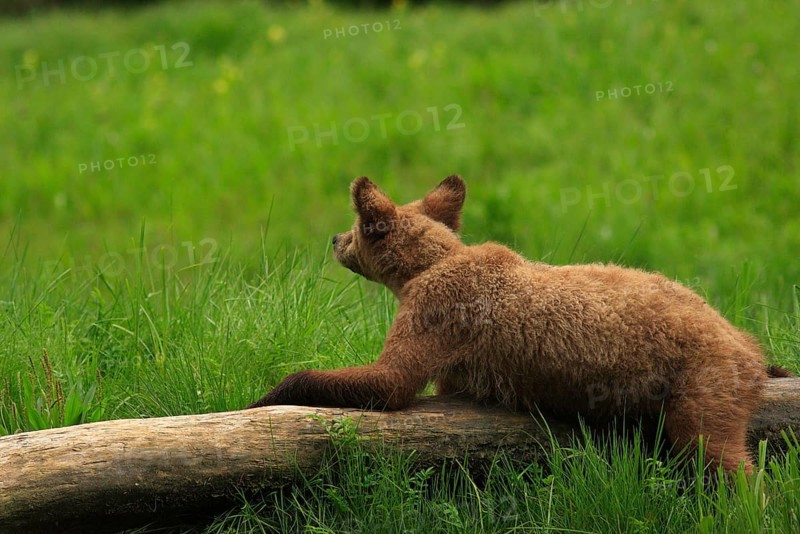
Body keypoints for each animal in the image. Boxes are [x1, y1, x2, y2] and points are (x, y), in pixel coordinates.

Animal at [248, 174, 785, 474]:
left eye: (357, 226)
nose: (335, 239)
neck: (423, 270)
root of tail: (745, 344)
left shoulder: (435, 315)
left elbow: (389, 379)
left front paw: (266, 396)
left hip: (702, 384)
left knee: (724, 459)